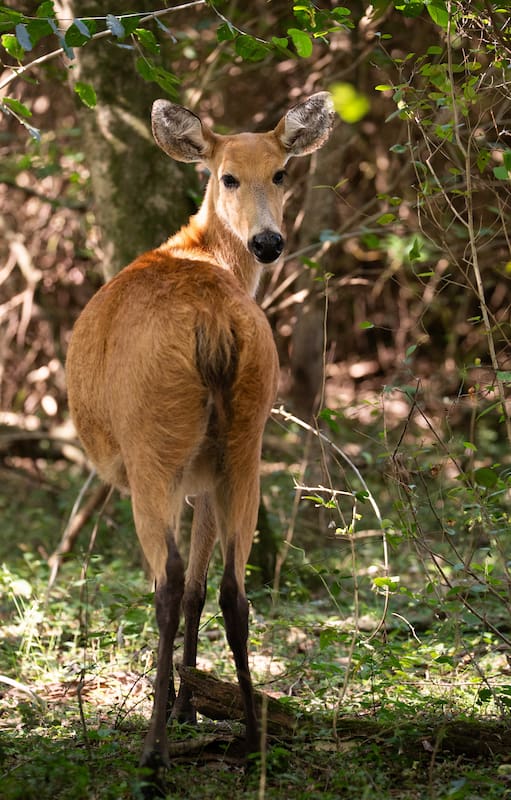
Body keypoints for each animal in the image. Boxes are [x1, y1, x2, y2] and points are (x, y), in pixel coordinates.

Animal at [66, 91, 335, 783]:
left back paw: (153, 753)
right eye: (228, 176)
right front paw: (194, 705)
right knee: (233, 592)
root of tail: (214, 319)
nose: (268, 242)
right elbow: (200, 590)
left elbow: (180, 587)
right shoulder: (207, 474)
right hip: (245, 437)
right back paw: (251, 739)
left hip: (152, 443)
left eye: (281, 173)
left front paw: (179, 709)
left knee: (164, 585)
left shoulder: (179, 472)